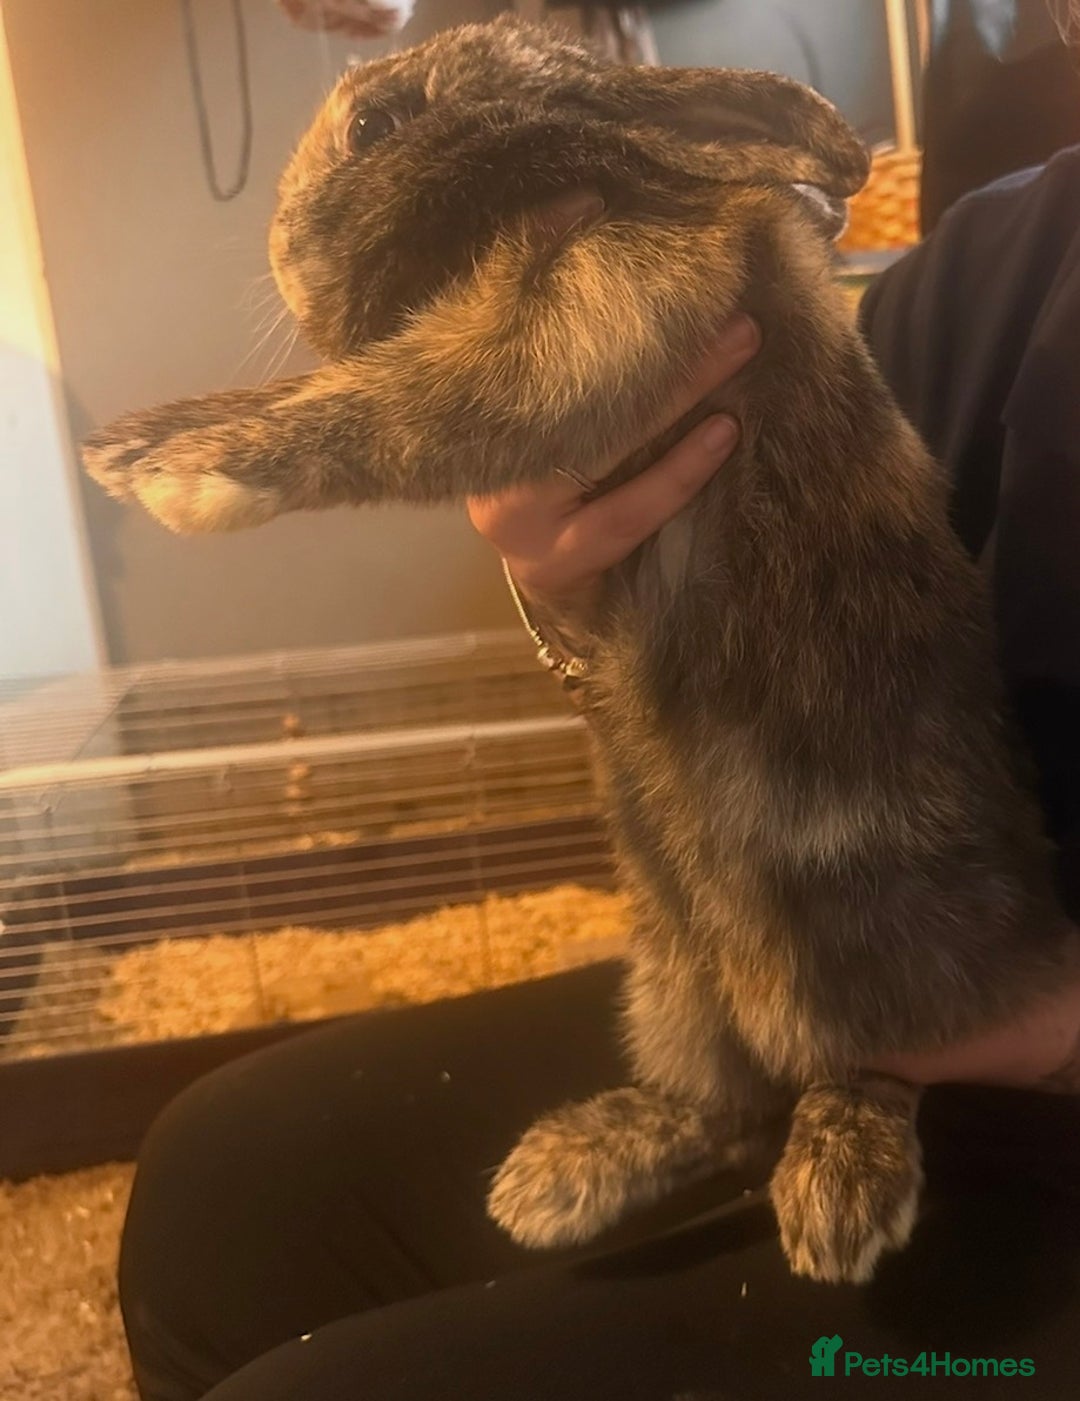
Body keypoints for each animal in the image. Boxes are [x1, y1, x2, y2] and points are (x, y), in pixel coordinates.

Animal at [82, 14, 1080, 1284]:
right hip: (670, 971)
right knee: (721, 1103)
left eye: (376, 127)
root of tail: (1032, 950)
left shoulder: (586, 321)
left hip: (832, 967)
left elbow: (394, 403)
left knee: (864, 1071)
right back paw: (566, 1177)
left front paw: (165, 463)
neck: (572, 177)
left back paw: (838, 1198)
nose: (281, 257)